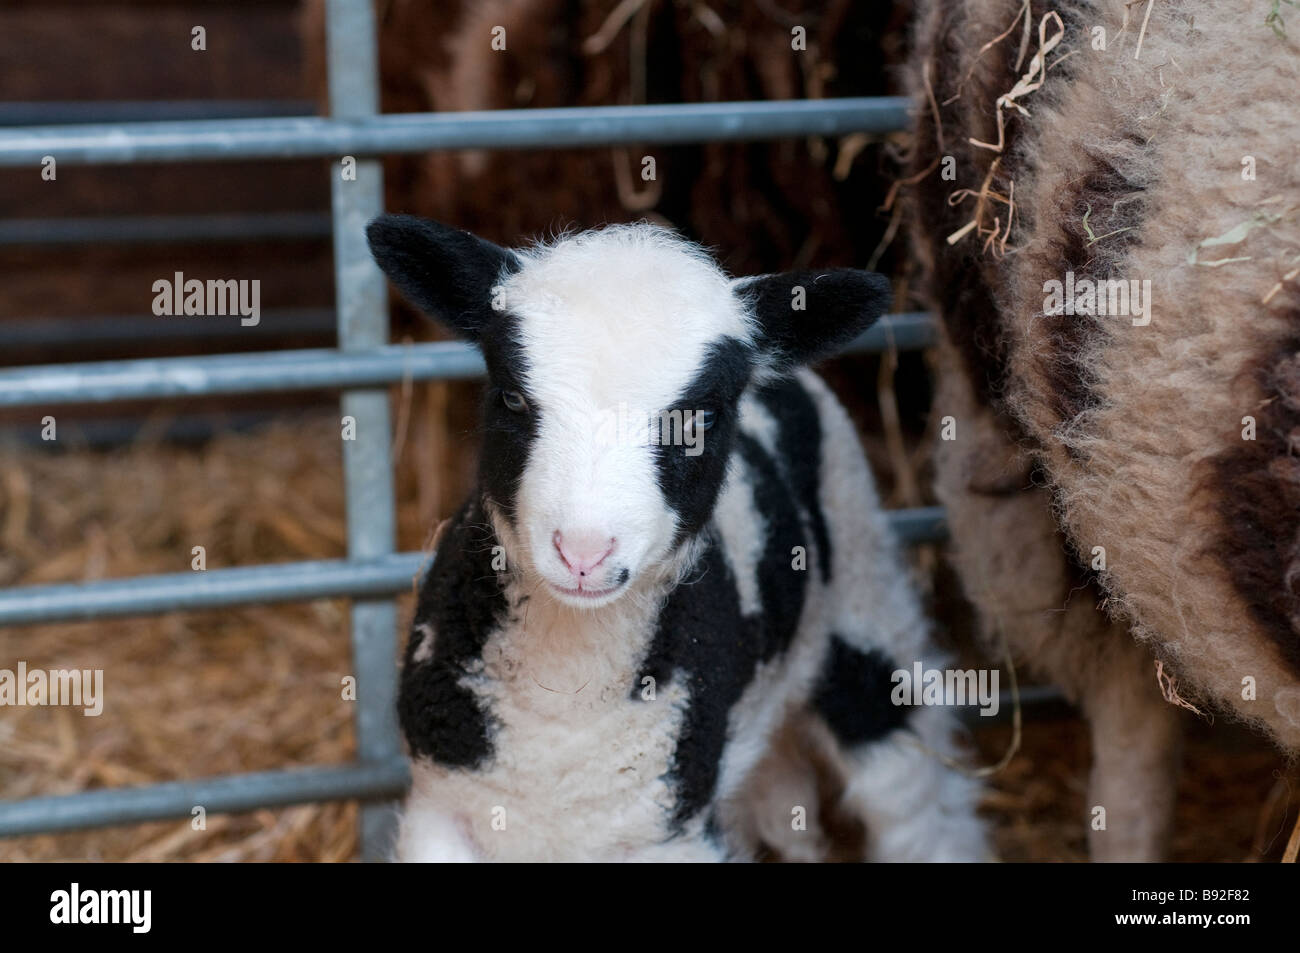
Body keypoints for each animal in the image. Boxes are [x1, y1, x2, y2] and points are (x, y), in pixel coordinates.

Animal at [365, 214, 988, 862]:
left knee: (913, 791)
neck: (567, 693)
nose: (583, 552)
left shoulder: (670, 831)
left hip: (864, 582)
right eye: (511, 396)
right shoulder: (440, 810)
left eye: (702, 418)